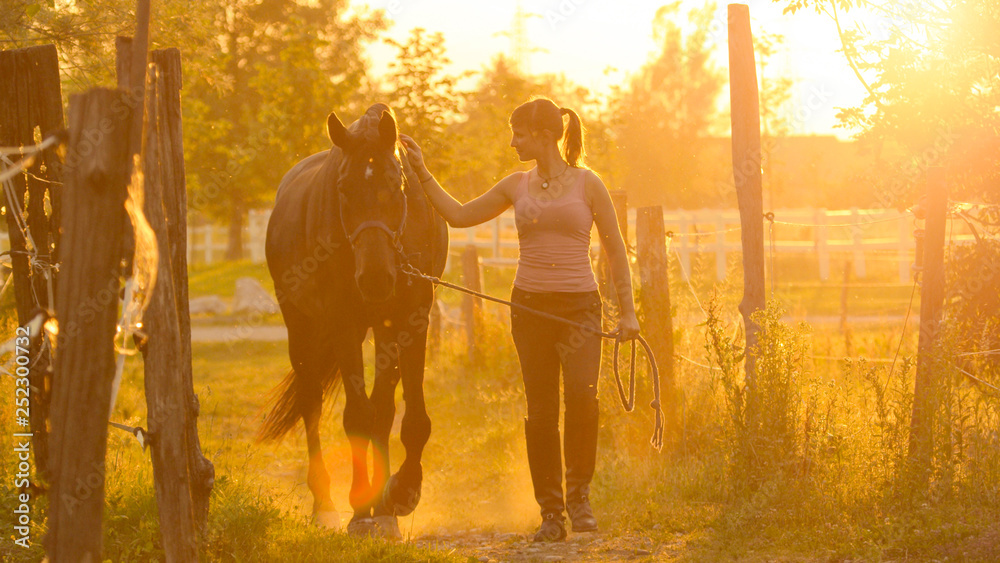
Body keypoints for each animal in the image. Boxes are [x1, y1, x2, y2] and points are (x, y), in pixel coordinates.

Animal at [260, 103, 448, 540]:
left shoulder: (411, 319)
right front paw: (361, 509)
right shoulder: (342, 323)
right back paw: (324, 504)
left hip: (381, 331)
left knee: (383, 408)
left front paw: (400, 495)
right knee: (311, 404)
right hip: (301, 328)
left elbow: (409, 418)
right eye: (344, 189)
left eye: (397, 186)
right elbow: (358, 416)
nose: (376, 278)